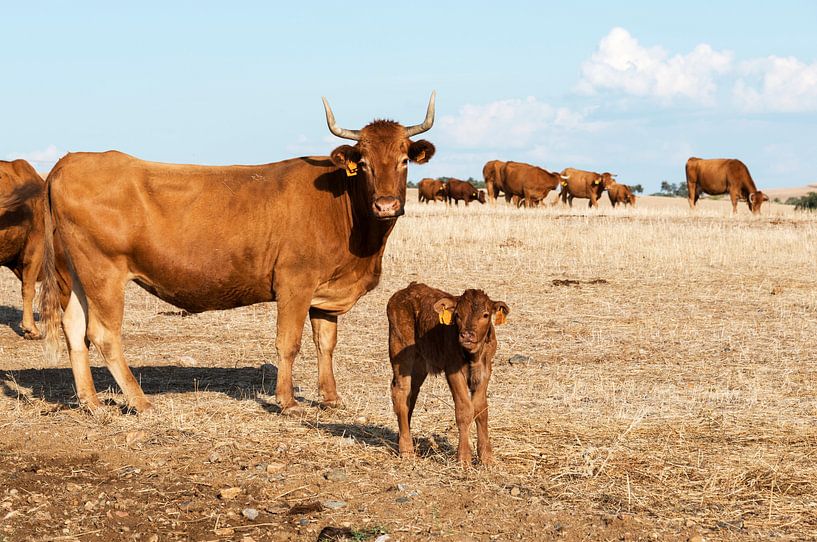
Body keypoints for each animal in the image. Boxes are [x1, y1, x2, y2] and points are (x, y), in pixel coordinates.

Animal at [39, 93, 437, 414]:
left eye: (404, 160)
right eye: (364, 162)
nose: (386, 205)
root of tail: (69, 161)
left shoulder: (326, 291)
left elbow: (326, 343)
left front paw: (331, 398)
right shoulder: (295, 283)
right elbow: (288, 343)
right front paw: (288, 402)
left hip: (76, 272)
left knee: (73, 327)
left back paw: (91, 403)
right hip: (103, 271)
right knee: (104, 333)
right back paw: (140, 401)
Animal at [386, 282, 509, 465]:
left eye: (485, 315)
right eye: (457, 315)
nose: (467, 335)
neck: (472, 356)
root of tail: (407, 290)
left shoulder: (485, 371)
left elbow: (481, 409)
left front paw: (486, 457)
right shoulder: (453, 370)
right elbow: (465, 409)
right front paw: (464, 458)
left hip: (420, 364)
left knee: (411, 397)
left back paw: (400, 439)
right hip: (400, 351)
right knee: (400, 393)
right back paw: (407, 450)